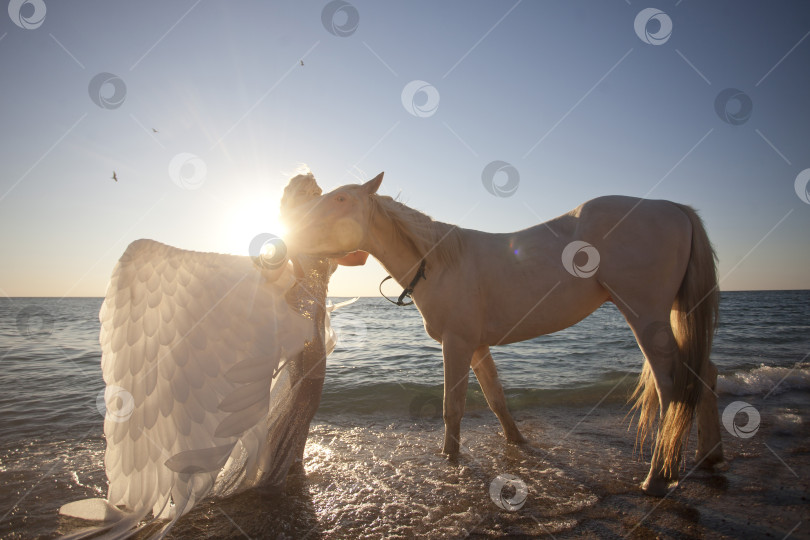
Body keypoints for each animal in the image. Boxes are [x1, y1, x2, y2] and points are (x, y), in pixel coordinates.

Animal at [282, 174, 720, 498]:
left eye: (341, 199)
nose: (295, 232)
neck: (439, 262)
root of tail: (673, 208)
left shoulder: (457, 343)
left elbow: (453, 407)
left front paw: (450, 460)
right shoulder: (477, 346)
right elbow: (496, 399)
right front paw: (517, 442)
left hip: (646, 315)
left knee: (671, 384)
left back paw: (658, 476)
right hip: (674, 314)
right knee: (705, 372)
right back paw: (708, 456)